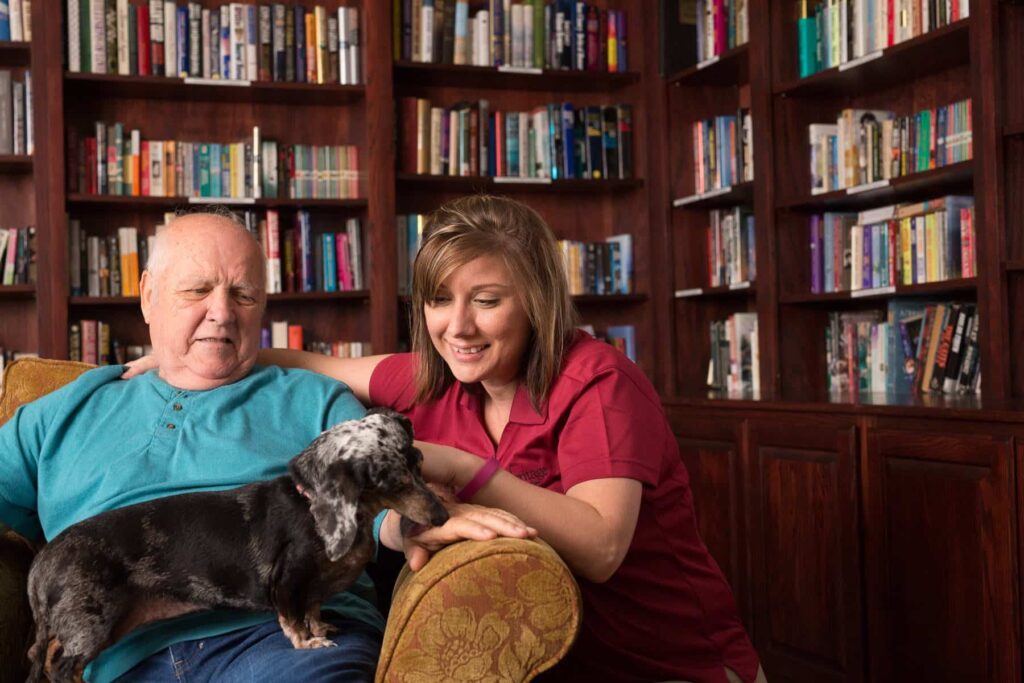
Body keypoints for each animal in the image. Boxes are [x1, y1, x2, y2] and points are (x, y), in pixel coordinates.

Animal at [24, 409, 446, 679]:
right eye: (393, 483)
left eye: (420, 463)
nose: (442, 515)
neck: (310, 505)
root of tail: (40, 565)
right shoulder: (287, 583)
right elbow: (294, 622)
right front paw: (309, 643)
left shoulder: (311, 591)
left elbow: (313, 612)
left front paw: (323, 628)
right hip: (92, 624)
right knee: (60, 667)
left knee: (46, 654)